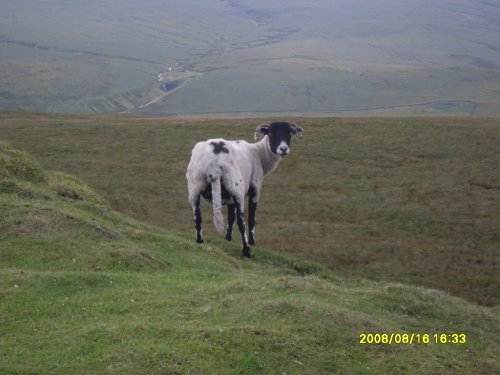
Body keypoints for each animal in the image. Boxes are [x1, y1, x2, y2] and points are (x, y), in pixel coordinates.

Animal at [186, 122, 302, 258]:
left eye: (289, 133)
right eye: (271, 133)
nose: (283, 149)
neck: (258, 153)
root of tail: (213, 163)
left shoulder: (229, 197)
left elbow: (230, 218)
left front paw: (228, 239)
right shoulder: (255, 188)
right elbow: (251, 219)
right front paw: (252, 242)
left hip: (195, 186)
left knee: (197, 218)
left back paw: (199, 241)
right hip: (236, 187)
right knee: (241, 222)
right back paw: (247, 250)